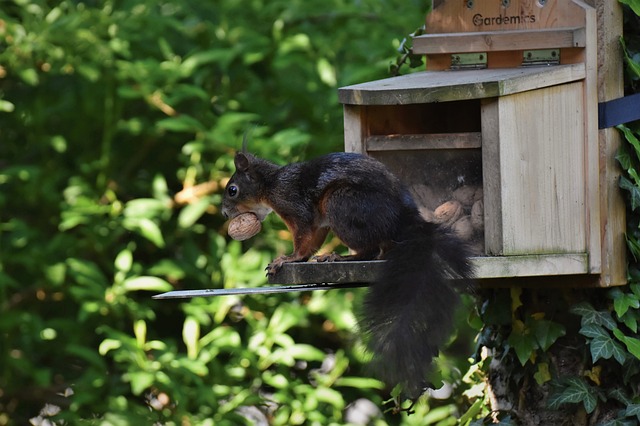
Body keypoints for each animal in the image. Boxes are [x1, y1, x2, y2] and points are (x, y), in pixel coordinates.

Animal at [222, 151, 472, 400]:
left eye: (232, 190)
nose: (224, 213)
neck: (271, 184)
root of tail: (404, 218)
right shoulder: (318, 224)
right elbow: (313, 241)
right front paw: (299, 258)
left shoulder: (294, 206)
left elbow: (303, 237)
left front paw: (288, 259)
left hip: (341, 203)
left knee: (370, 250)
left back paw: (340, 257)